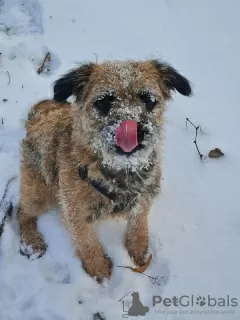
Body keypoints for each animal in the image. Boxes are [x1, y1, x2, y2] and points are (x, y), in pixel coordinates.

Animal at [18, 58, 191, 282]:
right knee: (22, 211)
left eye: (148, 100)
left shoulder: (144, 197)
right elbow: (86, 242)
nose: (134, 130)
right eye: (104, 102)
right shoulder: (75, 213)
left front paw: (138, 249)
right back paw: (32, 240)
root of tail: (35, 120)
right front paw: (97, 268)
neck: (119, 171)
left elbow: (138, 222)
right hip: (38, 193)